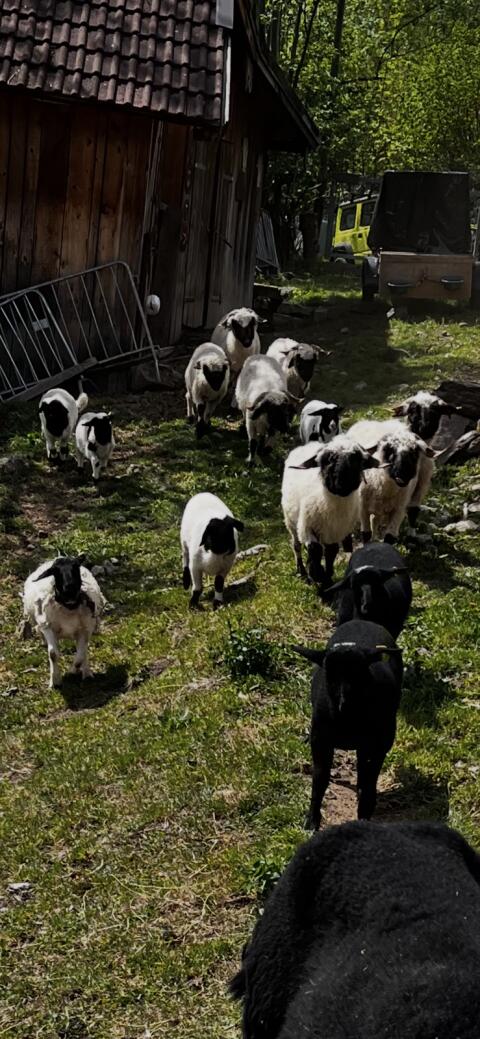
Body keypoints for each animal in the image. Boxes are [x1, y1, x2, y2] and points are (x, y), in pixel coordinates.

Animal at [22, 556, 105, 689]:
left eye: (76, 567)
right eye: (55, 571)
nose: (69, 588)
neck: (69, 607)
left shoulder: (84, 629)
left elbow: (80, 656)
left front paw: (72, 671)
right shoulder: (48, 626)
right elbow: (53, 654)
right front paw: (55, 681)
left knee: (83, 650)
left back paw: (87, 673)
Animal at [281, 436, 379, 587]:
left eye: (357, 459)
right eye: (327, 460)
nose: (343, 485)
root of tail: (306, 445)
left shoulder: (336, 532)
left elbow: (331, 553)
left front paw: (327, 579)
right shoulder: (306, 527)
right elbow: (315, 550)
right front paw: (317, 575)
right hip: (291, 521)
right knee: (296, 545)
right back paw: (301, 570)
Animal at [295, 619, 403, 827]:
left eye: (360, 672)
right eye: (329, 674)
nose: (345, 704)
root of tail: (363, 621)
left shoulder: (379, 744)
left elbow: (369, 782)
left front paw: (364, 813)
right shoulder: (320, 741)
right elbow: (320, 778)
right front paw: (312, 819)